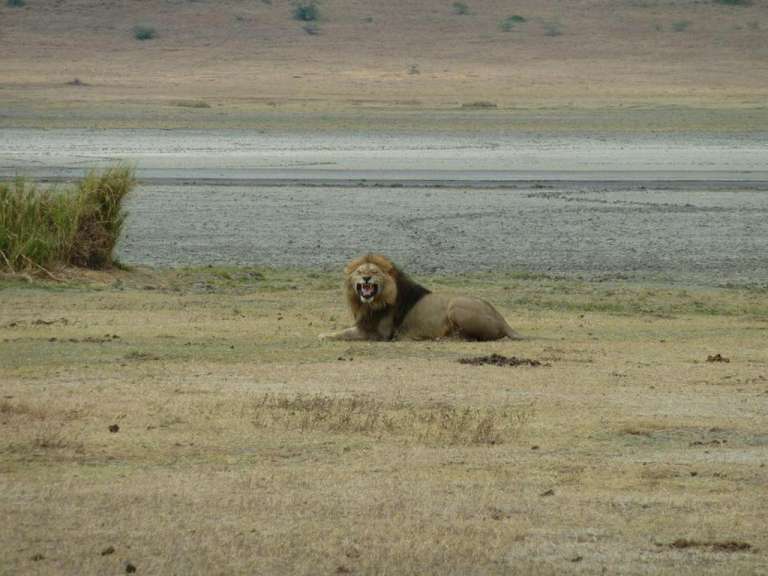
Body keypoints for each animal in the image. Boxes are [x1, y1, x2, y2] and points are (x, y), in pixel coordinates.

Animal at [319, 254, 522, 341]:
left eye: (374, 272)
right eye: (360, 272)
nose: (366, 278)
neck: (371, 304)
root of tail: (502, 319)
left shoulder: (379, 333)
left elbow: (345, 333)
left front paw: (324, 335)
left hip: (455, 306)